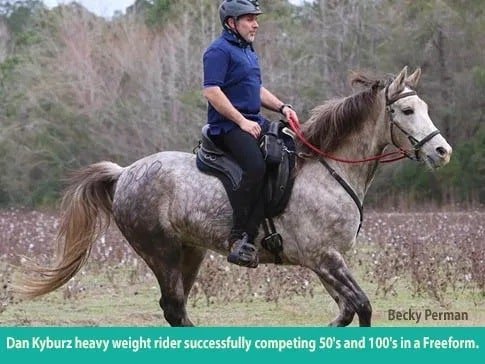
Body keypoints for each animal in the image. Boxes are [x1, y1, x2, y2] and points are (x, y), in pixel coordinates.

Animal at [14, 67, 450, 328]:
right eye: (407, 111)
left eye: (424, 106)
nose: (442, 151)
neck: (330, 170)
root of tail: (124, 174)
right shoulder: (325, 259)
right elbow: (361, 307)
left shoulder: (324, 263)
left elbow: (345, 312)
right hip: (160, 251)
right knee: (174, 306)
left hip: (190, 252)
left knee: (175, 309)